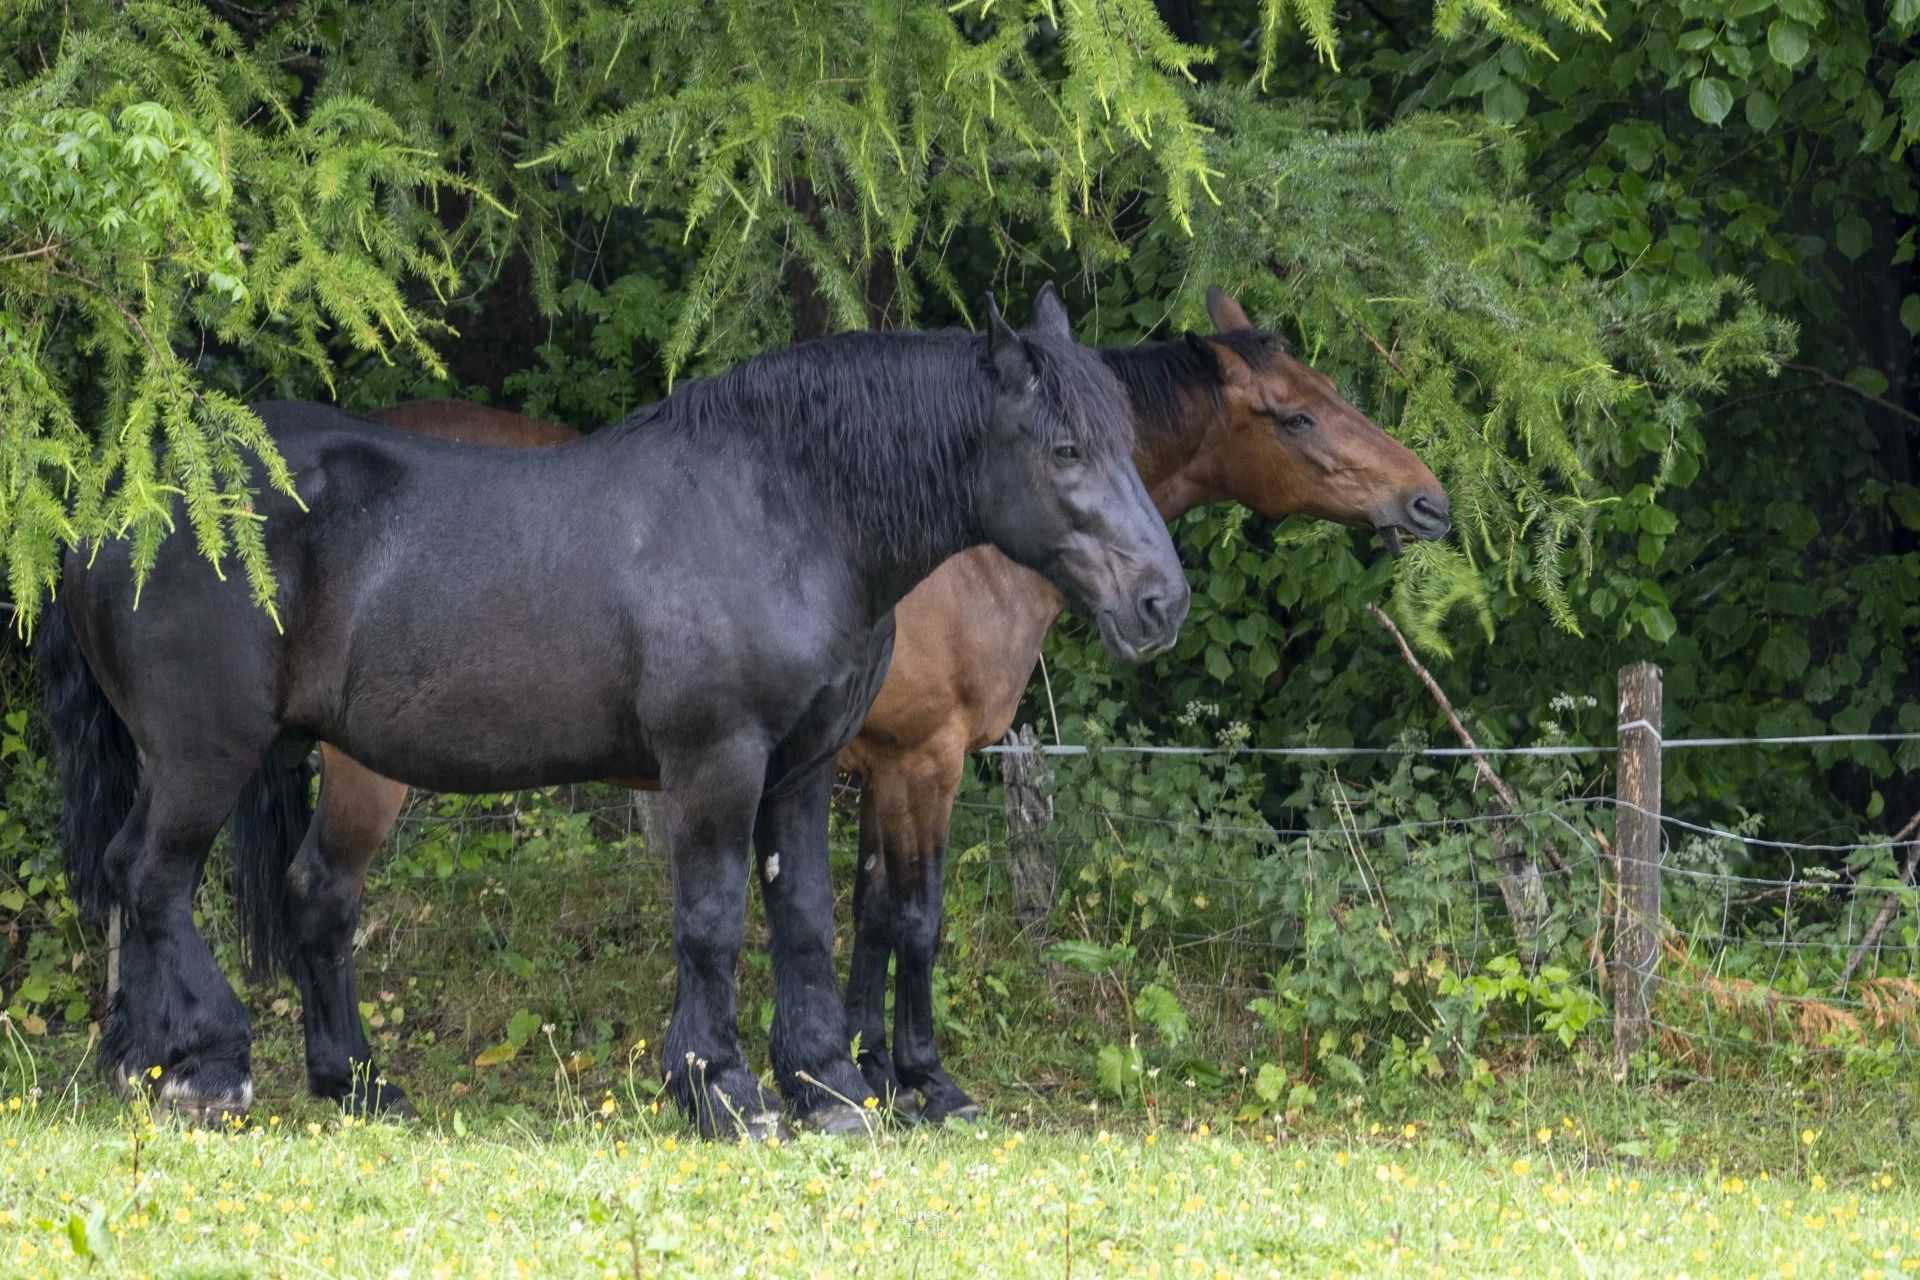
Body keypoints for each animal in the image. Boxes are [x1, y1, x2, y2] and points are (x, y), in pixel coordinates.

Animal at [38, 287, 1189, 1139]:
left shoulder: (808, 766)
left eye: (1125, 443)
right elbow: (714, 918)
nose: (1160, 602)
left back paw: (308, 1077)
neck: (784, 510)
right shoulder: (717, 761)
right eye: (1064, 452)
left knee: (232, 887)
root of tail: (118, 497)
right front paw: (723, 1089)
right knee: (153, 880)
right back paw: (209, 1066)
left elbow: (807, 917)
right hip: (205, 752)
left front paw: (828, 1086)